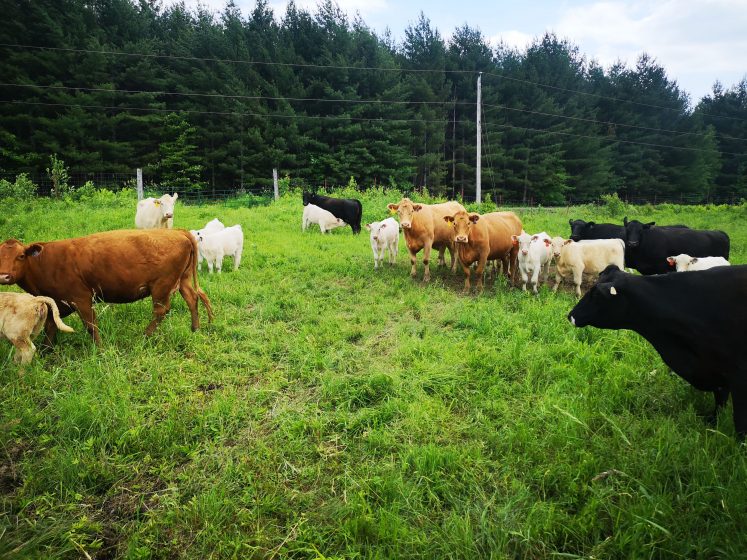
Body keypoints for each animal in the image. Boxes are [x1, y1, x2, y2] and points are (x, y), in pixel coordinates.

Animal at [568, 266, 747, 438]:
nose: (570, 315)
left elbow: (739, 421)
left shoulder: (738, 375)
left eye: (596, 295)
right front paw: (713, 423)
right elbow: (720, 402)